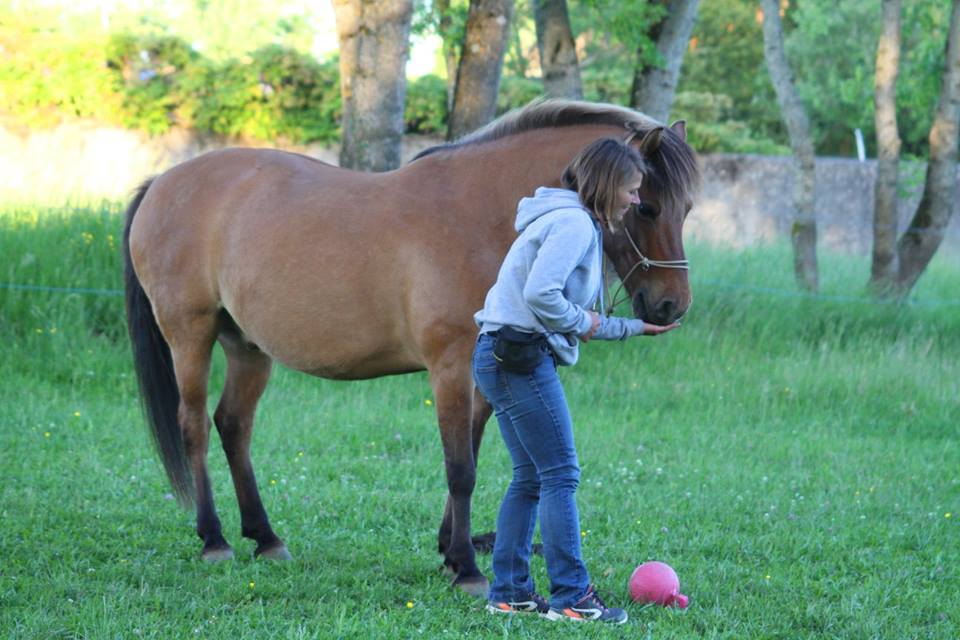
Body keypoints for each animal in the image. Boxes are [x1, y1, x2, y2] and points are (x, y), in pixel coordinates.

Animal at [124, 99, 700, 596]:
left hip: (247, 347)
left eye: (687, 208)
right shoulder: (448, 367)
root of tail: (162, 184)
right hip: (190, 335)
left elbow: (470, 452)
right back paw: (214, 538)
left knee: (234, 426)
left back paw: (265, 538)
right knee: (194, 426)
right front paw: (466, 568)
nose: (670, 306)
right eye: (646, 207)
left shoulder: (482, 370)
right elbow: (460, 467)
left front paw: (450, 549)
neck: (483, 214)